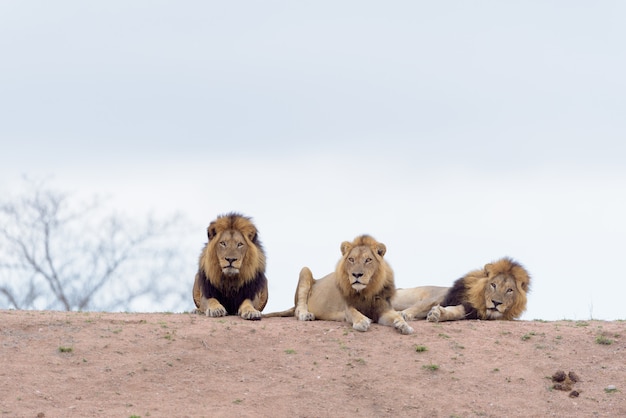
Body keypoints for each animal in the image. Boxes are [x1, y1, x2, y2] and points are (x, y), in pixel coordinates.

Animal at [264, 233, 414, 334]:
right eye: (351, 259)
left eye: (368, 260)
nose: (357, 275)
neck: (366, 291)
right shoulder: (348, 307)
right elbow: (354, 313)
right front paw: (362, 321)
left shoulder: (383, 309)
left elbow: (396, 316)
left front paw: (404, 325)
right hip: (305, 271)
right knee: (298, 308)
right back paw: (306, 315)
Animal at [390, 256, 528, 322]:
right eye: (493, 285)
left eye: (509, 290)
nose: (496, 303)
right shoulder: (438, 297)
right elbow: (419, 306)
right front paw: (404, 314)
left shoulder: (468, 310)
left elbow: (453, 312)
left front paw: (437, 314)